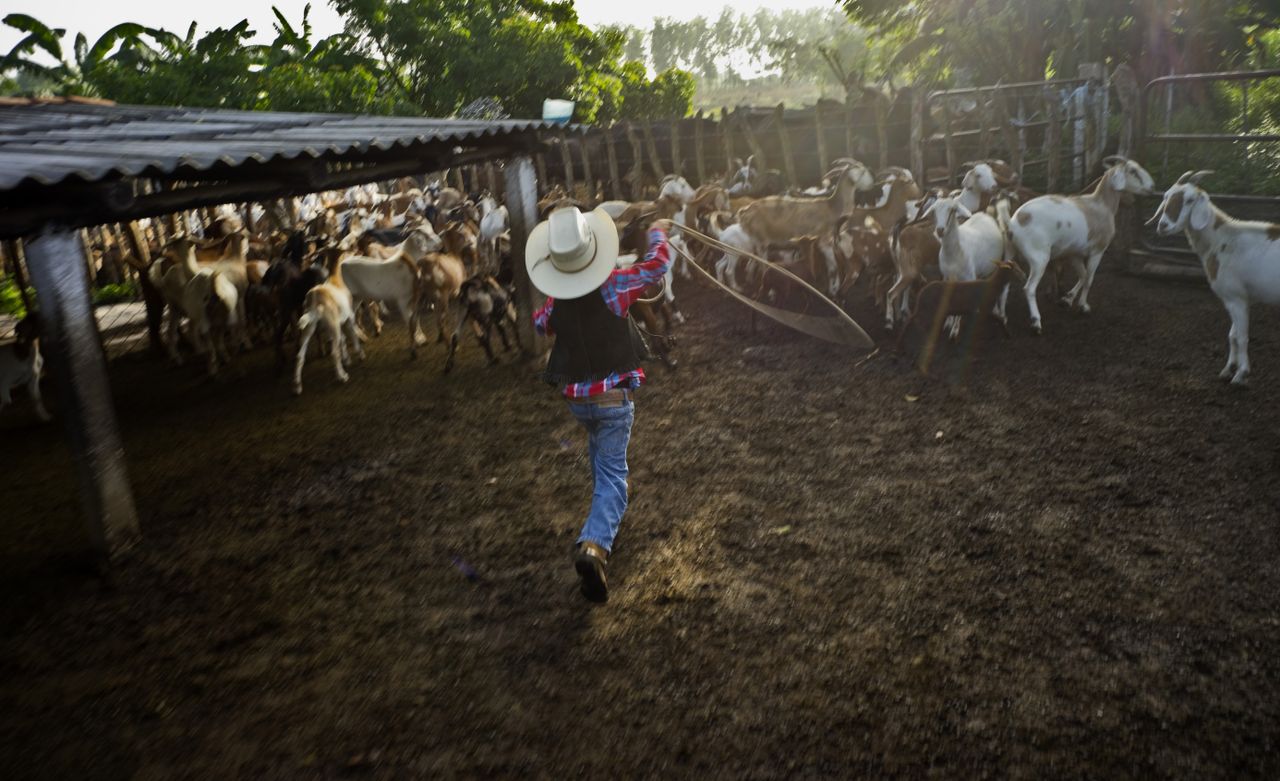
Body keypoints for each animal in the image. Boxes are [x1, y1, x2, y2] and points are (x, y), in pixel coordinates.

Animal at [1008, 154, 1162, 330]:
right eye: (1133, 171)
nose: (1152, 186)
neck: (1102, 205)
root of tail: (1014, 223)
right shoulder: (1098, 250)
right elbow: (1089, 278)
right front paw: (1083, 306)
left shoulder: (1075, 253)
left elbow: (1082, 275)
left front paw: (1067, 299)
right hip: (1038, 258)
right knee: (1029, 288)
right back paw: (1036, 321)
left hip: (1009, 254)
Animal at [1152, 169, 1280, 384]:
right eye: (1167, 196)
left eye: (1190, 200)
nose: (1163, 225)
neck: (1222, 240)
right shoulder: (1237, 299)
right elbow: (1232, 335)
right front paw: (1228, 369)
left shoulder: (1236, 297)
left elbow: (1241, 337)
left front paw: (1241, 374)